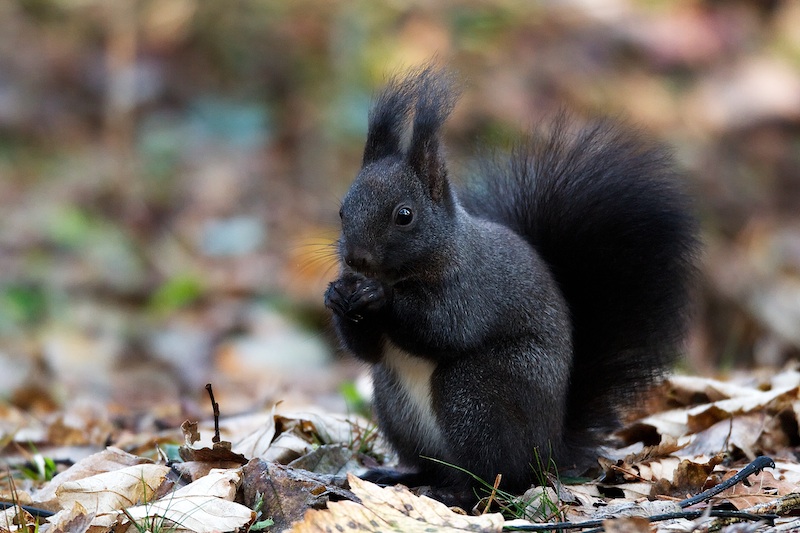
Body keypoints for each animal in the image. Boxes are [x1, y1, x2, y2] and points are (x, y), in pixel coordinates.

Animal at [322, 66, 696, 502]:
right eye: (343, 210)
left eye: (404, 215)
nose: (356, 259)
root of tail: (548, 451)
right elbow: (367, 350)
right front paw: (337, 296)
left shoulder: (471, 288)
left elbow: (444, 329)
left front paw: (379, 297)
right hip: (395, 403)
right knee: (433, 465)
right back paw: (401, 477)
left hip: (475, 396)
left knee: (499, 474)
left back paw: (459, 493)